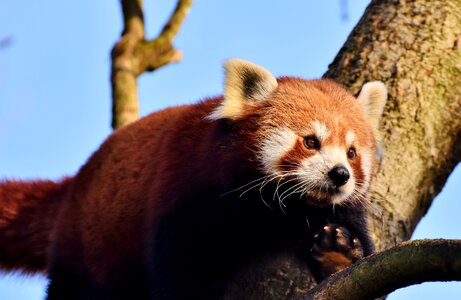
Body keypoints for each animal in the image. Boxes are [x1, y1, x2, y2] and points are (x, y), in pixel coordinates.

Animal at [0, 59, 384, 300]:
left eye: (351, 152)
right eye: (311, 142)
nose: (340, 175)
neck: (275, 211)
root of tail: (78, 181)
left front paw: (337, 255)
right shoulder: (188, 196)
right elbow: (184, 274)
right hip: (85, 245)